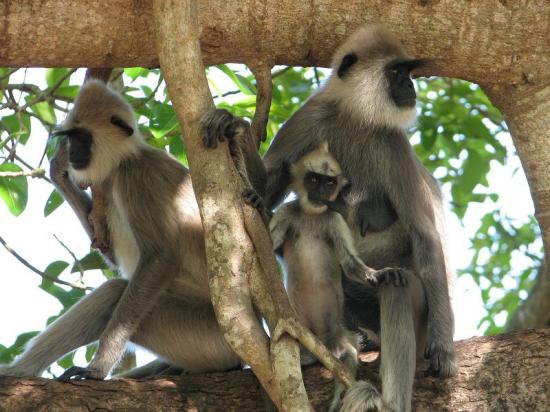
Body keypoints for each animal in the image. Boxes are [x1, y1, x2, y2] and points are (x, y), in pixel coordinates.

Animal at [270, 142, 406, 412]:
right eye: (313, 179)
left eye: (329, 183)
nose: (320, 192)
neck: (311, 216)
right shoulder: (287, 213)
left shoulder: (334, 220)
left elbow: (350, 265)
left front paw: (380, 274)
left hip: (337, 339)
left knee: (348, 357)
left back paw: (338, 397)